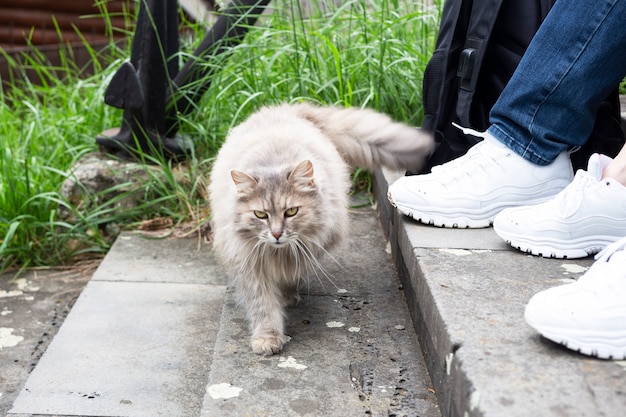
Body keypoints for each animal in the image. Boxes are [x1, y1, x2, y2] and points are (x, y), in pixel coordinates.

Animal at [208, 102, 428, 352]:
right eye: (260, 215)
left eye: (291, 212)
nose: (276, 234)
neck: (278, 253)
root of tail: (287, 109)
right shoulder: (251, 265)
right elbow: (263, 307)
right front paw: (267, 338)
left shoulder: (302, 251)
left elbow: (290, 275)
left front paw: (286, 298)